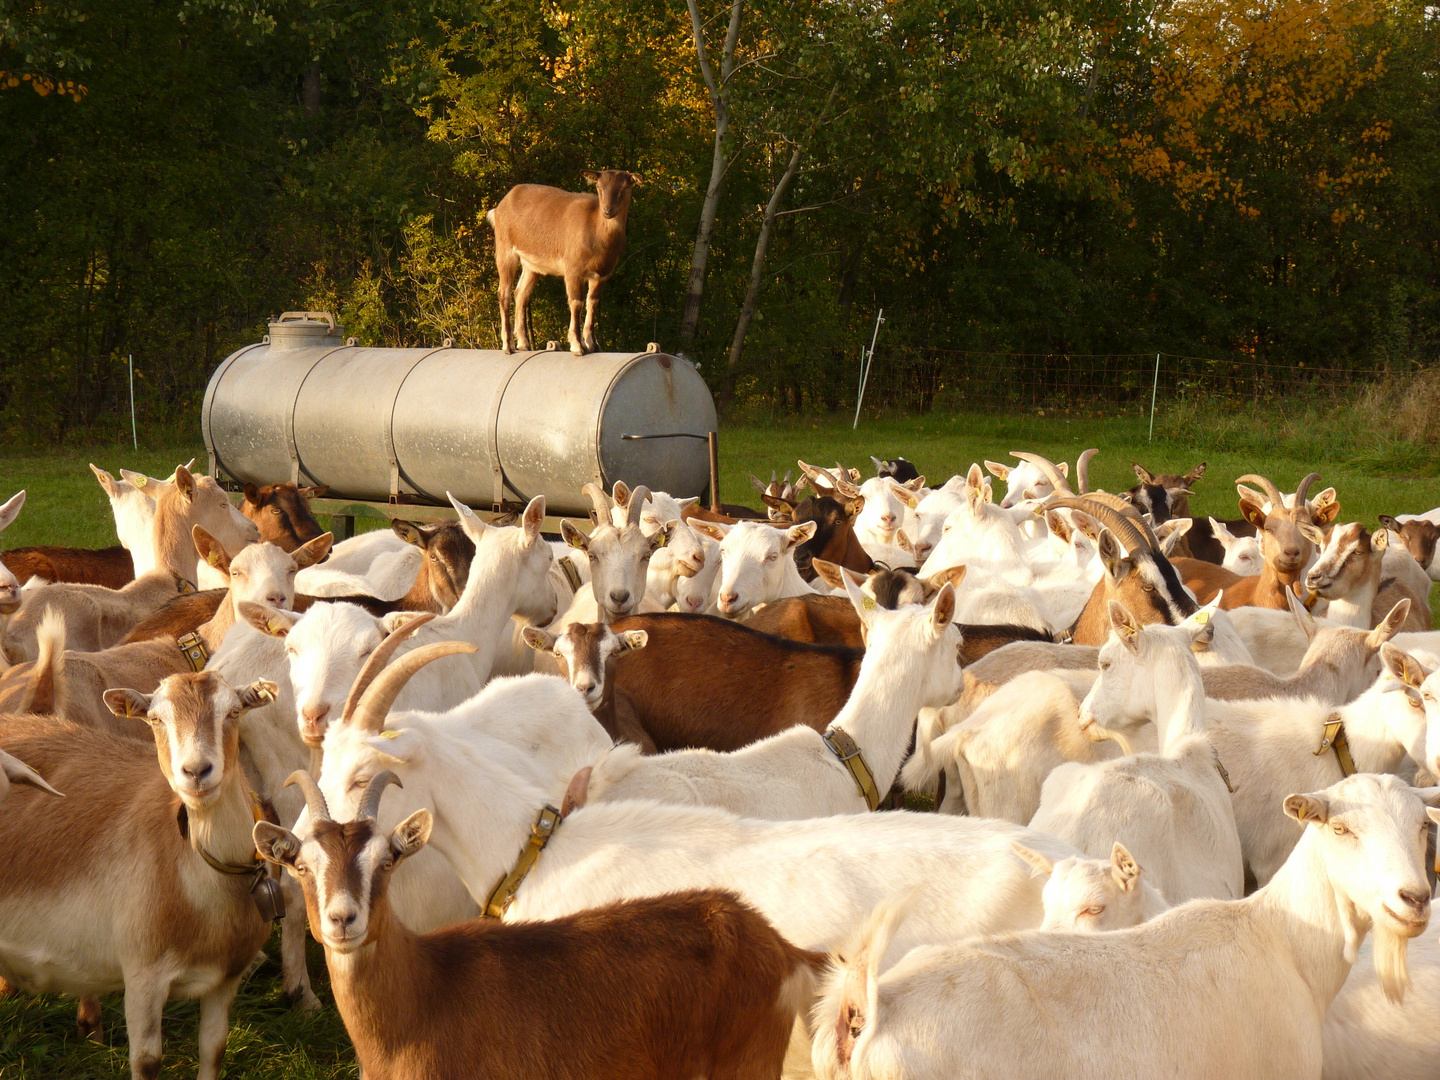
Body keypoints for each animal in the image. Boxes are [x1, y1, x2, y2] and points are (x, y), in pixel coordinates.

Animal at [486, 169, 639, 355]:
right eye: (599, 186)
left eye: (625, 187)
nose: (608, 210)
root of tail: (498, 209)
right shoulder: (573, 267)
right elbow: (576, 302)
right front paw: (578, 345)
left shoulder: (602, 273)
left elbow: (592, 302)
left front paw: (593, 344)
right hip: (505, 249)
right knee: (504, 293)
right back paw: (508, 345)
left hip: (531, 265)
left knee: (521, 292)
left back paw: (524, 344)